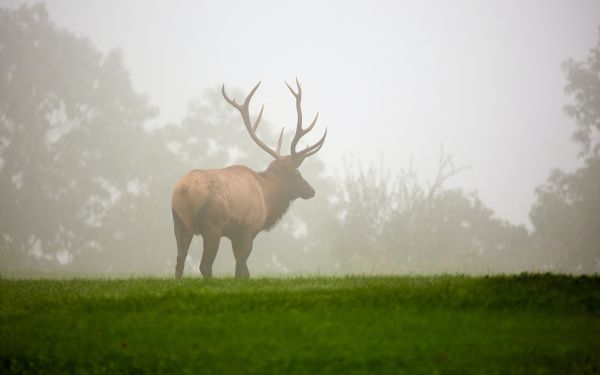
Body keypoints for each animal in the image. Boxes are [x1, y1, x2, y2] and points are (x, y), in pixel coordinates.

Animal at [171, 79, 326, 280]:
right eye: (296, 174)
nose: (311, 190)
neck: (267, 198)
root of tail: (183, 190)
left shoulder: (236, 233)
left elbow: (245, 271)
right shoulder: (247, 229)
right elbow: (241, 270)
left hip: (179, 222)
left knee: (179, 264)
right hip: (213, 225)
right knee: (205, 265)